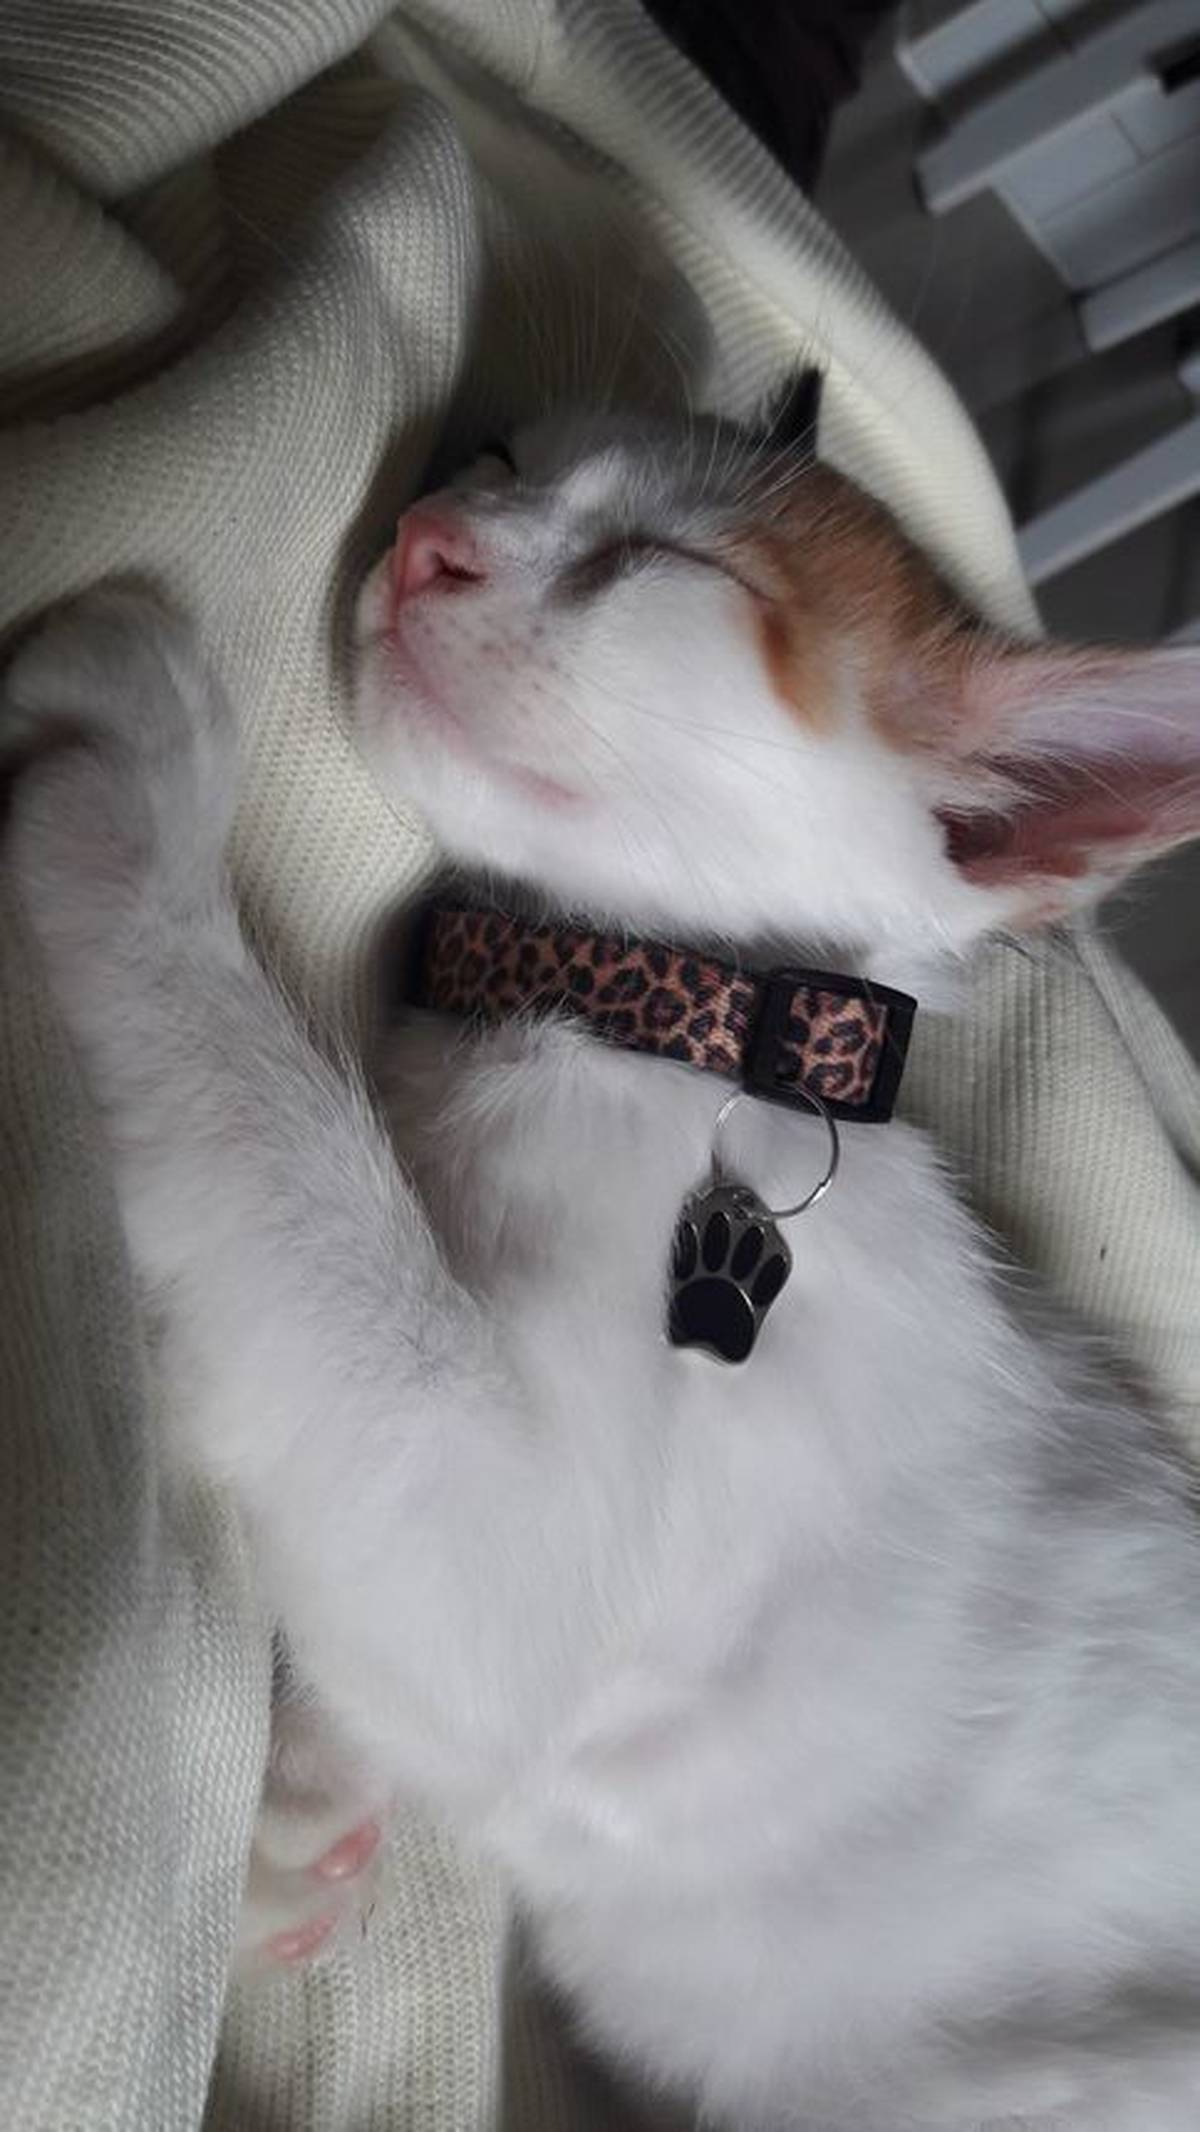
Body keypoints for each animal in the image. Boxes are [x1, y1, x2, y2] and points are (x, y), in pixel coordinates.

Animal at [5, 402, 1200, 2132]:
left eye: (665, 565)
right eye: (493, 454)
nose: (433, 536)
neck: (640, 1024)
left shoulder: (521, 1547)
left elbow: (280, 1166)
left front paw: (128, 777)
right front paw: (292, 1824)